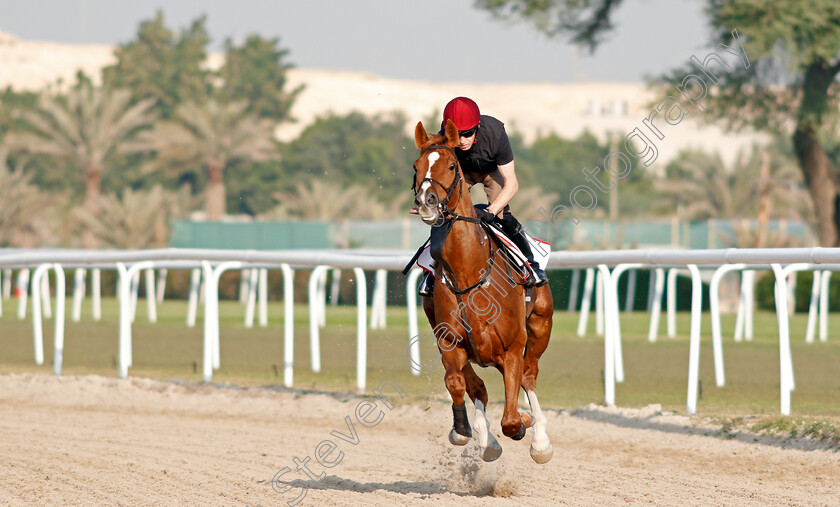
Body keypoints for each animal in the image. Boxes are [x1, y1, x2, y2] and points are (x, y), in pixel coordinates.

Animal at [412, 119, 556, 464]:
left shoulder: (514, 347)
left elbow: (512, 418)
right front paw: (464, 430)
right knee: (478, 386)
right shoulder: (450, 342)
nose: (426, 201)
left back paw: (540, 442)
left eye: (452, 165)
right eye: (416, 167)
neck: (469, 270)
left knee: (529, 376)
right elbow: (459, 383)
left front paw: (527, 425)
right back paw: (486, 438)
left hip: (540, 325)